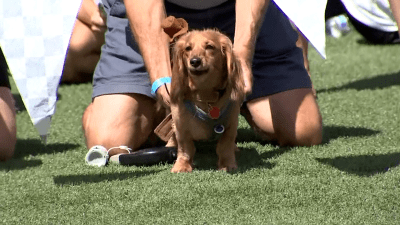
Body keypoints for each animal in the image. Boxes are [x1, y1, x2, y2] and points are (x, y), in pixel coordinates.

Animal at [168, 28, 244, 172]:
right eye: (188, 48)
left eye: (209, 46)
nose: (195, 61)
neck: (205, 94)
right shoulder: (180, 125)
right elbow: (185, 147)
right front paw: (182, 165)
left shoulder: (231, 123)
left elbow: (225, 146)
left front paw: (227, 164)